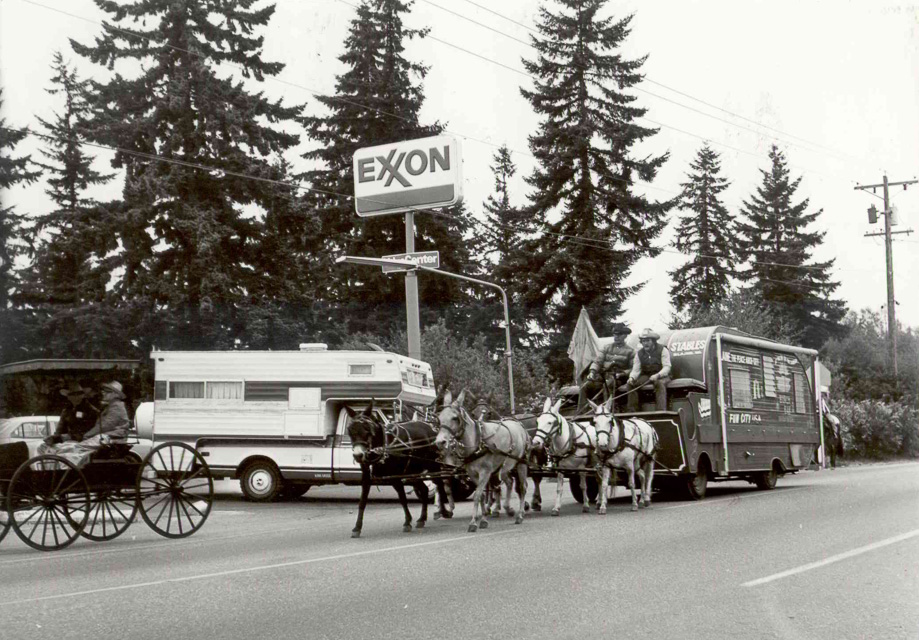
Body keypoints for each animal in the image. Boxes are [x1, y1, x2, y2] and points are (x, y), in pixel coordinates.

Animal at [346, 403, 453, 538]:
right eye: (350, 430)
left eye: (367, 429)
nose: (358, 455)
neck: (383, 446)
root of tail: (432, 428)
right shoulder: (366, 477)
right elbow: (362, 502)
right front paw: (357, 527)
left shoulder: (395, 477)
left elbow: (402, 498)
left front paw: (407, 521)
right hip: (413, 471)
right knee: (424, 489)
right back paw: (422, 518)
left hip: (432, 466)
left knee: (439, 484)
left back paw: (443, 511)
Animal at [435, 389, 529, 532]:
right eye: (439, 418)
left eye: (455, 418)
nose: (440, 442)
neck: (477, 442)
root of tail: (518, 423)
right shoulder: (473, 474)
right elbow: (482, 496)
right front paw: (483, 519)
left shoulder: (485, 472)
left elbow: (478, 494)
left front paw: (473, 522)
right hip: (503, 468)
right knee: (508, 482)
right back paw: (509, 508)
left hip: (519, 463)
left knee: (522, 487)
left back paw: (520, 514)